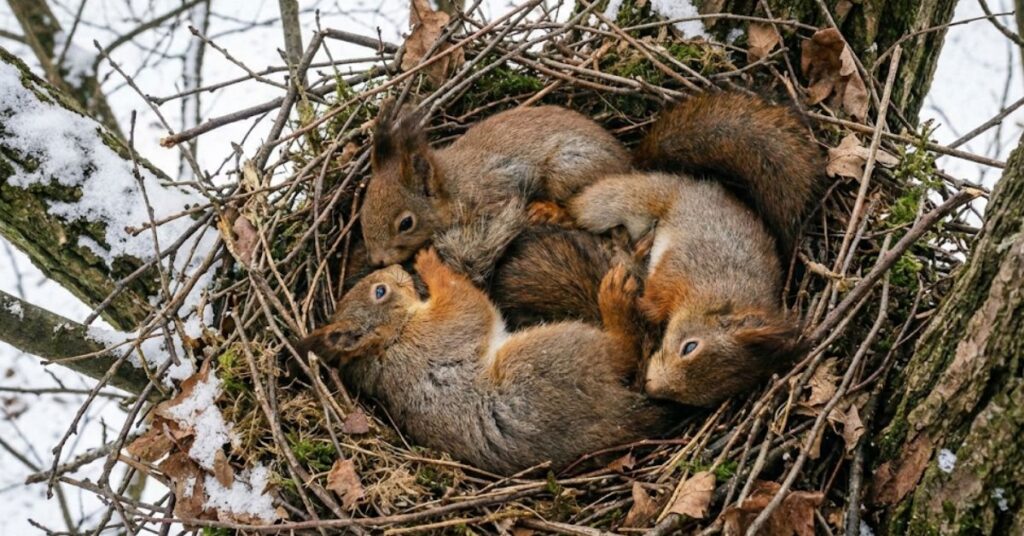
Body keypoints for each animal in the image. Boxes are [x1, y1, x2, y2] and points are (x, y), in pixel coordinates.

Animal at [298, 249, 673, 474]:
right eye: (380, 292)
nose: (394, 267)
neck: (391, 341)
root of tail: (618, 415)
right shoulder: (441, 331)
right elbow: (464, 297)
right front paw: (429, 261)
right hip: (557, 351)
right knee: (624, 350)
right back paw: (614, 296)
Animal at [361, 104, 630, 267]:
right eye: (363, 214)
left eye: (406, 223)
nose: (378, 260)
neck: (455, 186)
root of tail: (626, 163)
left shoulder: (500, 186)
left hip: (569, 169)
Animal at [568, 92, 821, 407]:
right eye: (689, 347)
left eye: (701, 400)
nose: (652, 388)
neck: (716, 295)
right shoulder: (683, 266)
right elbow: (653, 299)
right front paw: (629, 300)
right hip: (636, 197)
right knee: (585, 207)